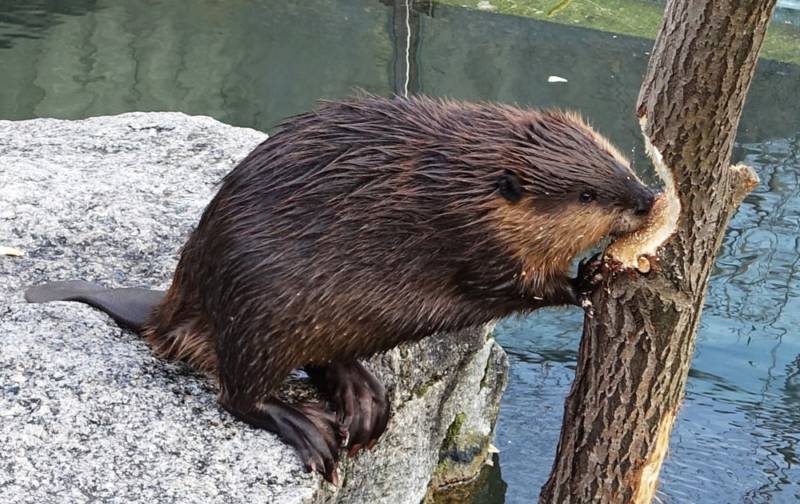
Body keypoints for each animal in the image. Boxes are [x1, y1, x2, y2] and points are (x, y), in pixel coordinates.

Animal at [25, 94, 652, 484]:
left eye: (617, 161)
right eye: (587, 195)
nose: (647, 198)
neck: (455, 181)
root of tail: (169, 310)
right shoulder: (465, 235)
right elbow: (510, 281)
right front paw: (590, 279)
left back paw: (365, 402)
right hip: (260, 315)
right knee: (238, 394)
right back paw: (310, 428)